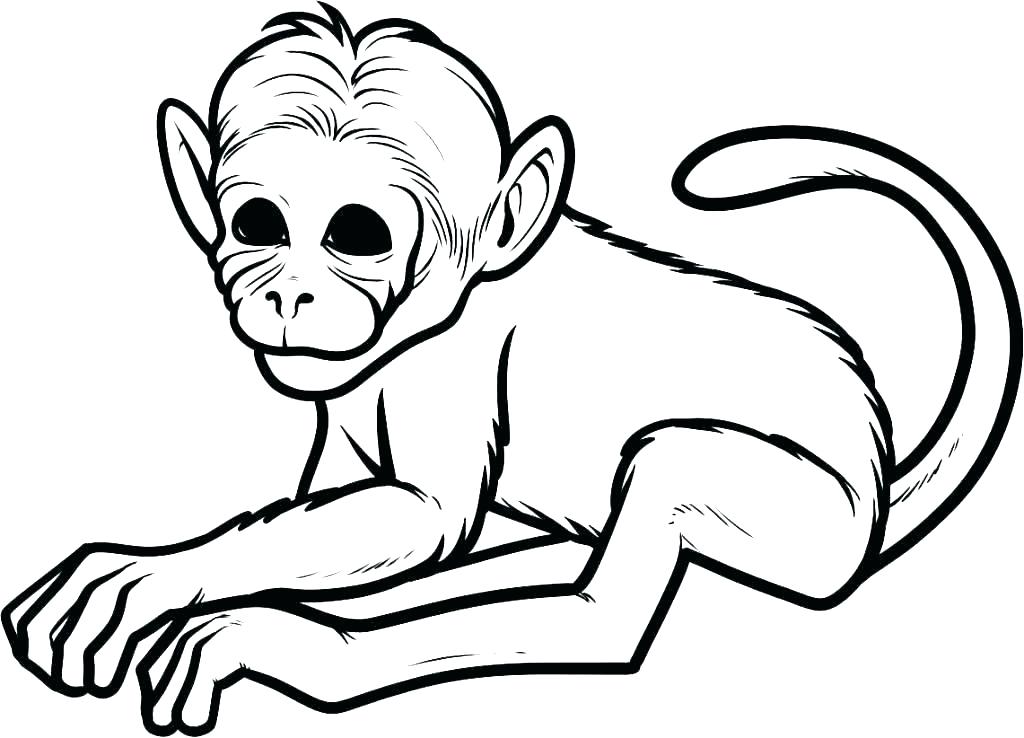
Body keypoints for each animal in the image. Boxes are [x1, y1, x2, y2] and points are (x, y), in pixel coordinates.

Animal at [3, 4, 1020, 735]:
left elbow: (426, 515)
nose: (289, 295)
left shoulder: (447, 367)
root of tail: (878, 479)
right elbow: (338, 511)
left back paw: (313, 650)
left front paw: (181, 585)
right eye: (258, 224)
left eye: (356, 235)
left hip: (810, 520)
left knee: (612, 590)